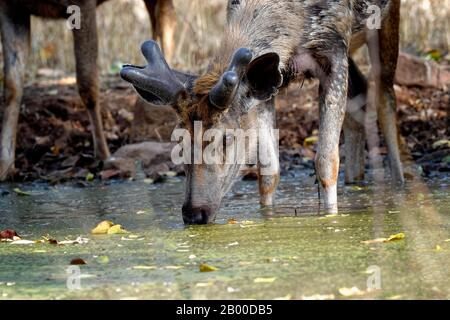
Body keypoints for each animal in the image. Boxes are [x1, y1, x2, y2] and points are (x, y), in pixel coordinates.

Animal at [0, 0, 178, 180]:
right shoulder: (11, 7)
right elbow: (12, 85)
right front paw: (5, 166)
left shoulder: (83, 4)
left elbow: (87, 84)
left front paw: (103, 155)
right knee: (160, 19)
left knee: (167, 17)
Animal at [121, 0, 406, 224]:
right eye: (178, 140)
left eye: (225, 138)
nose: (193, 213)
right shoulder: (266, 88)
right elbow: (269, 171)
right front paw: (267, 218)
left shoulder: (335, 49)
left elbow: (326, 161)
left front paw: (330, 218)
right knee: (360, 93)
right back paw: (357, 180)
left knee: (385, 94)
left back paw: (400, 183)